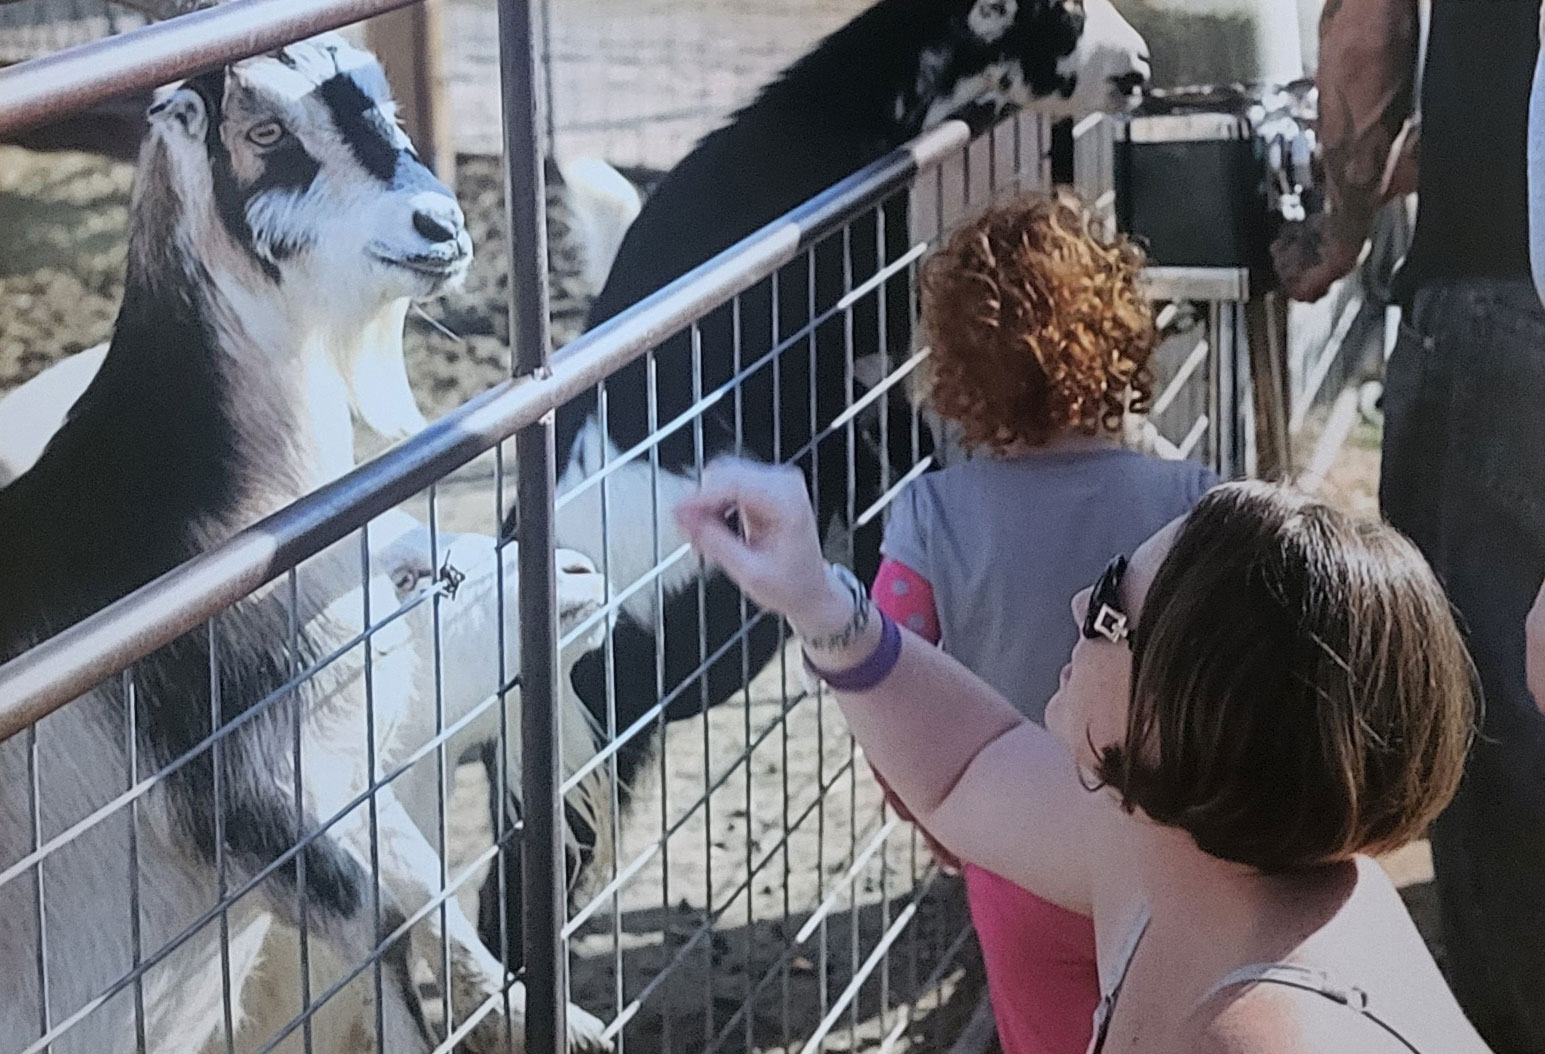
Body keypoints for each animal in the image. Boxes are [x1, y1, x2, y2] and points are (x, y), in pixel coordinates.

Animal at [0, 34, 605, 1050]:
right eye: (266, 132)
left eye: (384, 106)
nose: (438, 225)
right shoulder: (239, 802)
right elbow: (378, 933)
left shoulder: (341, 773)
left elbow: (421, 898)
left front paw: (542, 1010)